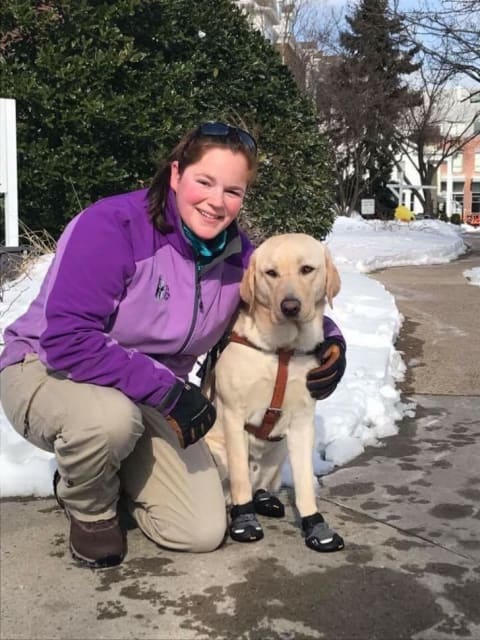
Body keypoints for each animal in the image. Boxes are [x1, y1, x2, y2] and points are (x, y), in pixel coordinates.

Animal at [206, 232, 344, 552]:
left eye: (307, 269)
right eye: (271, 273)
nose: (290, 306)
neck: (282, 350)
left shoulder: (303, 423)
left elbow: (305, 482)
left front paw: (315, 524)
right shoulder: (233, 415)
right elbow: (241, 478)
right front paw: (244, 520)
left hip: (279, 451)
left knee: (263, 487)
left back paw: (266, 500)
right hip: (218, 455)